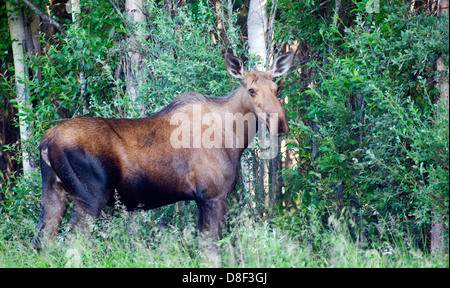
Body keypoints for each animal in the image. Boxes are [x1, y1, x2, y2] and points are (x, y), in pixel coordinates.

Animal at [32, 52, 296, 266]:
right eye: (251, 90)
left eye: (276, 88)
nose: (280, 124)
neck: (235, 138)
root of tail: (47, 141)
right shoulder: (214, 196)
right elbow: (213, 252)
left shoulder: (200, 200)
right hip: (89, 198)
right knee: (71, 247)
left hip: (55, 193)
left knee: (42, 242)